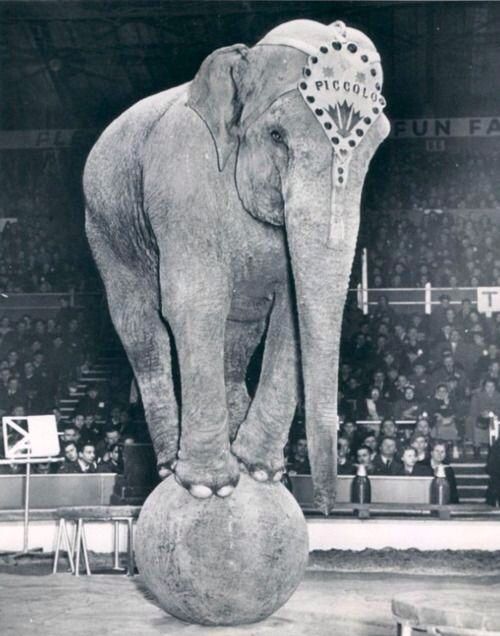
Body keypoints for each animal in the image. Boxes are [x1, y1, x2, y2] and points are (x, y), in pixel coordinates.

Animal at [84, 19, 388, 516]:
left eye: (376, 144)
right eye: (277, 135)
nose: (329, 506)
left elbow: (291, 313)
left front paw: (261, 471)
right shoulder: (182, 179)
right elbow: (195, 301)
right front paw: (209, 488)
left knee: (239, 335)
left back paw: (236, 440)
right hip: (107, 230)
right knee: (141, 330)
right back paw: (169, 465)